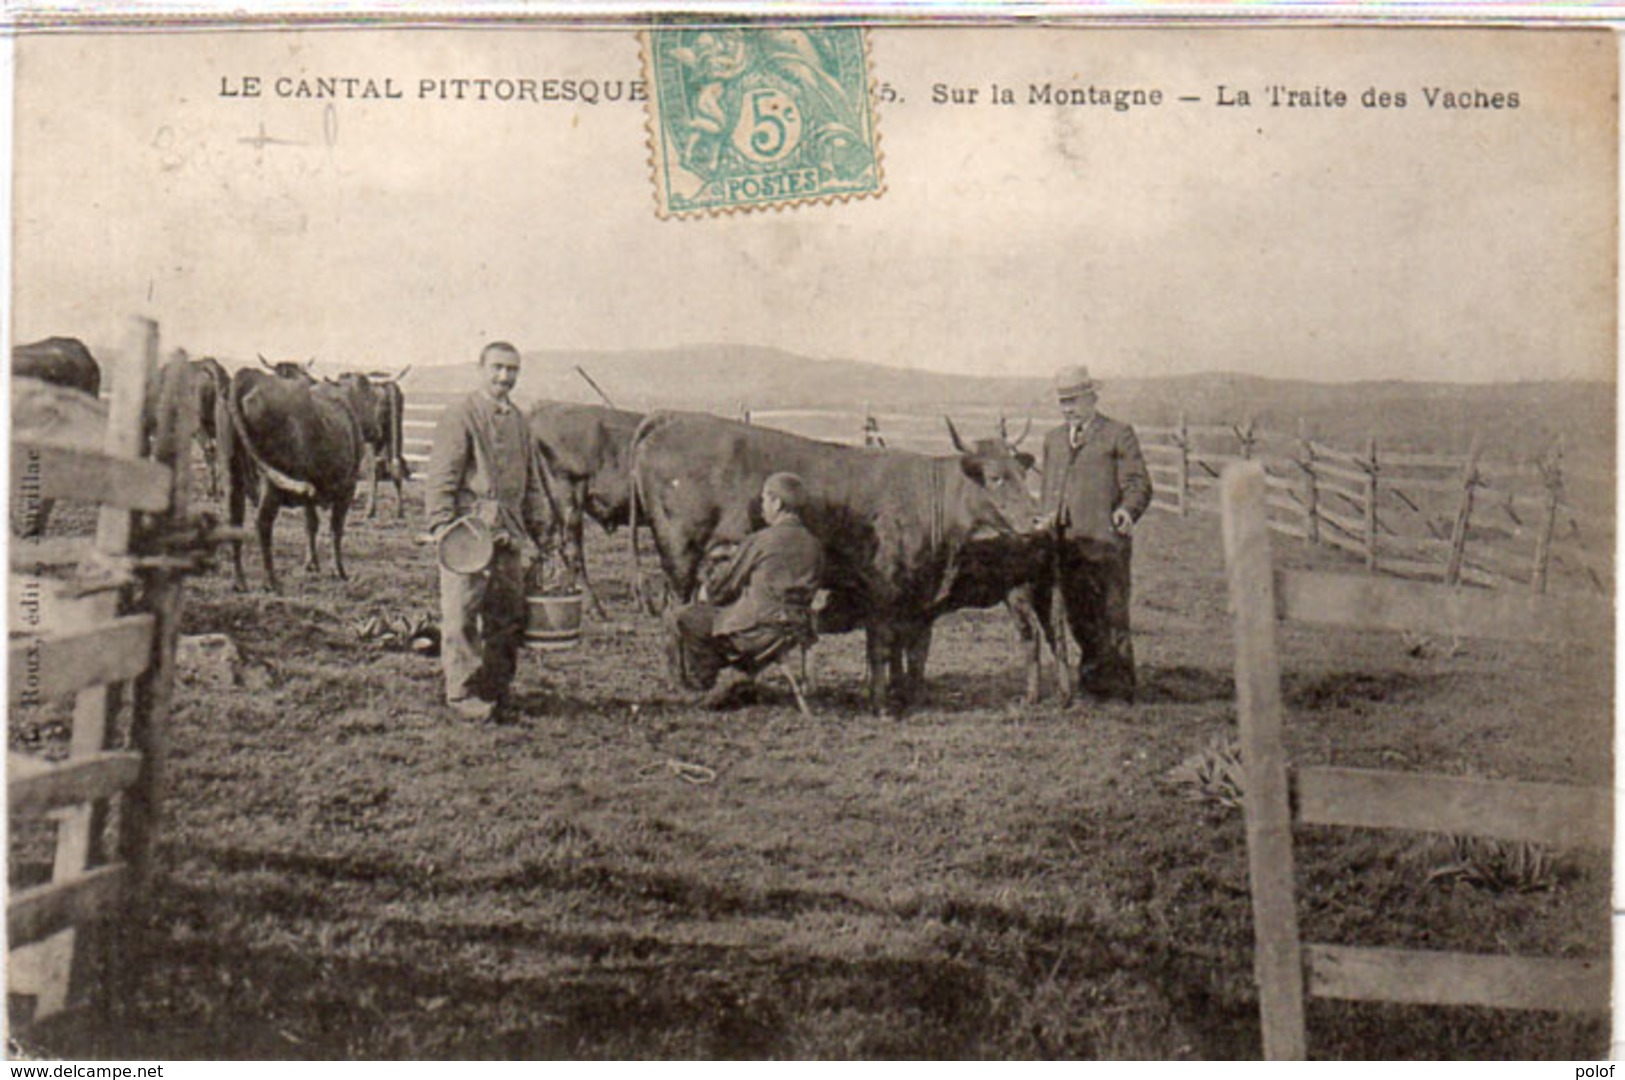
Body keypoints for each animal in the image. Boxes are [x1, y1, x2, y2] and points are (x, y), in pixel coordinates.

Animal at [217, 368, 385, 591]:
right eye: (371, 398)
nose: (377, 431)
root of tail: (248, 376)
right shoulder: (347, 488)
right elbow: (336, 528)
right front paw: (338, 570)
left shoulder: (309, 492)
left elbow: (311, 524)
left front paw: (312, 564)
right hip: (271, 483)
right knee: (263, 523)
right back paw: (271, 580)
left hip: (232, 475)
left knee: (233, 521)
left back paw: (239, 581)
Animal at [624, 409, 1040, 711]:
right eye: (995, 476)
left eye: (1022, 472)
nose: (1037, 520)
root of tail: (672, 418)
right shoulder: (881, 589)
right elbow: (881, 645)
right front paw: (880, 702)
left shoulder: (916, 594)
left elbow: (914, 648)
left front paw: (909, 694)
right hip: (679, 553)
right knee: (673, 614)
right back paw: (682, 683)